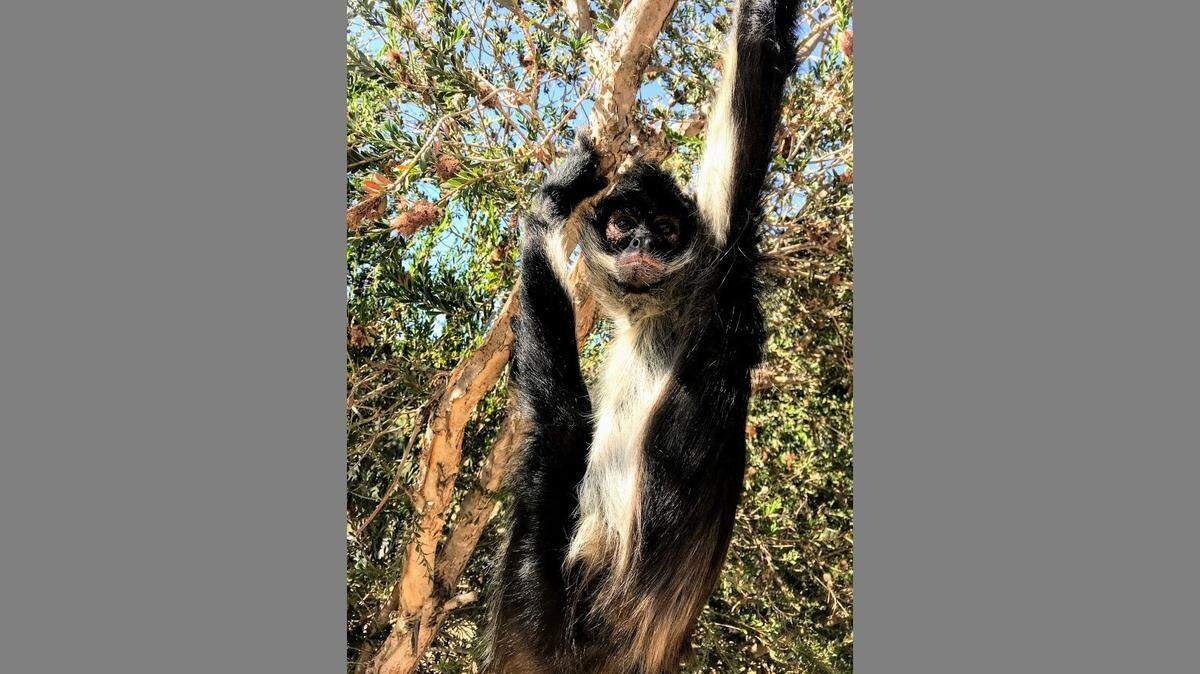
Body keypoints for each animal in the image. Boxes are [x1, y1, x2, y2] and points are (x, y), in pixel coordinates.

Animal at [484, 1, 804, 671]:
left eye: (664, 229)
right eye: (626, 223)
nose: (641, 245)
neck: (661, 313)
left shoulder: (720, 283)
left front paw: (552, 202)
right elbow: (759, 48)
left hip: (559, 624)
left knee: (555, 438)